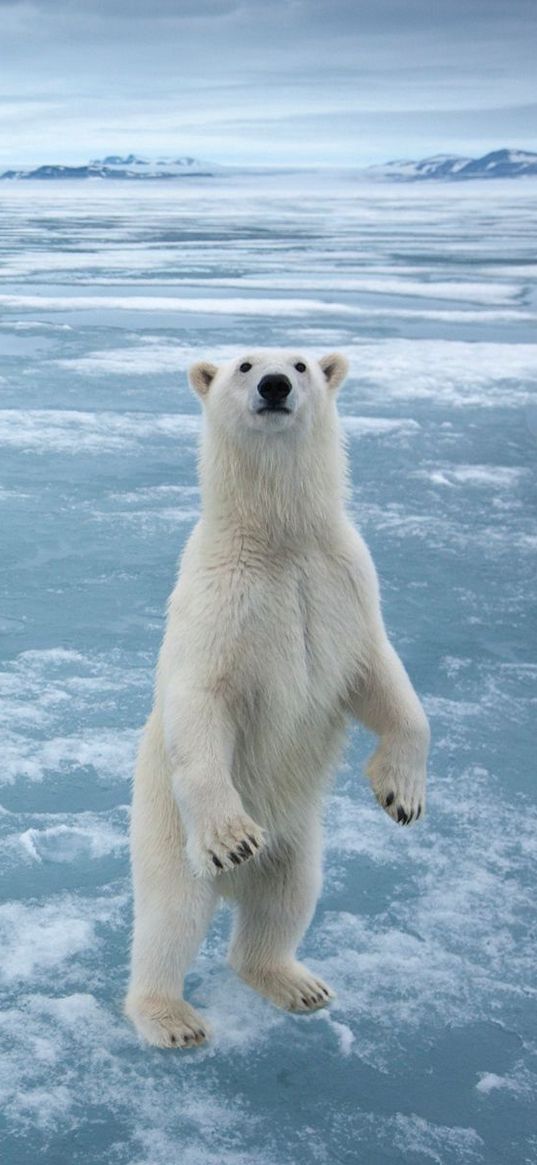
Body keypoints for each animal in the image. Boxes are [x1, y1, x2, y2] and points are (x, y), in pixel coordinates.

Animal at [124, 347, 426, 1048]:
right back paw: (171, 1017)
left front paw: (401, 795)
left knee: (288, 899)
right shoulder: (221, 602)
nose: (275, 385)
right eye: (242, 364)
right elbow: (201, 702)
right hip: (165, 829)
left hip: (299, 838)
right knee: (171, 916)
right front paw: (233, 837)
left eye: (302, 362)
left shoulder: (344, 583)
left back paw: (296, 982)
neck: (280, 540)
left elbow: (382, 680)